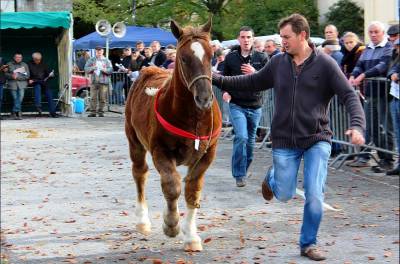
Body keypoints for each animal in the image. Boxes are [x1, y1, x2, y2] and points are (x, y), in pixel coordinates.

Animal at [125, 19, 222, 252]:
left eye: (211, 55)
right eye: (184, 58)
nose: (204, 98)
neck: (194, 118)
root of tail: (148, 69)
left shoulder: (207, 154)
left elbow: (192, 190)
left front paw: (191, 236)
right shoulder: (160, 151)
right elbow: (172, 186)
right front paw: (171, 224)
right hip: (135, 141)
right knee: (139, 173)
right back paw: (143, 221)